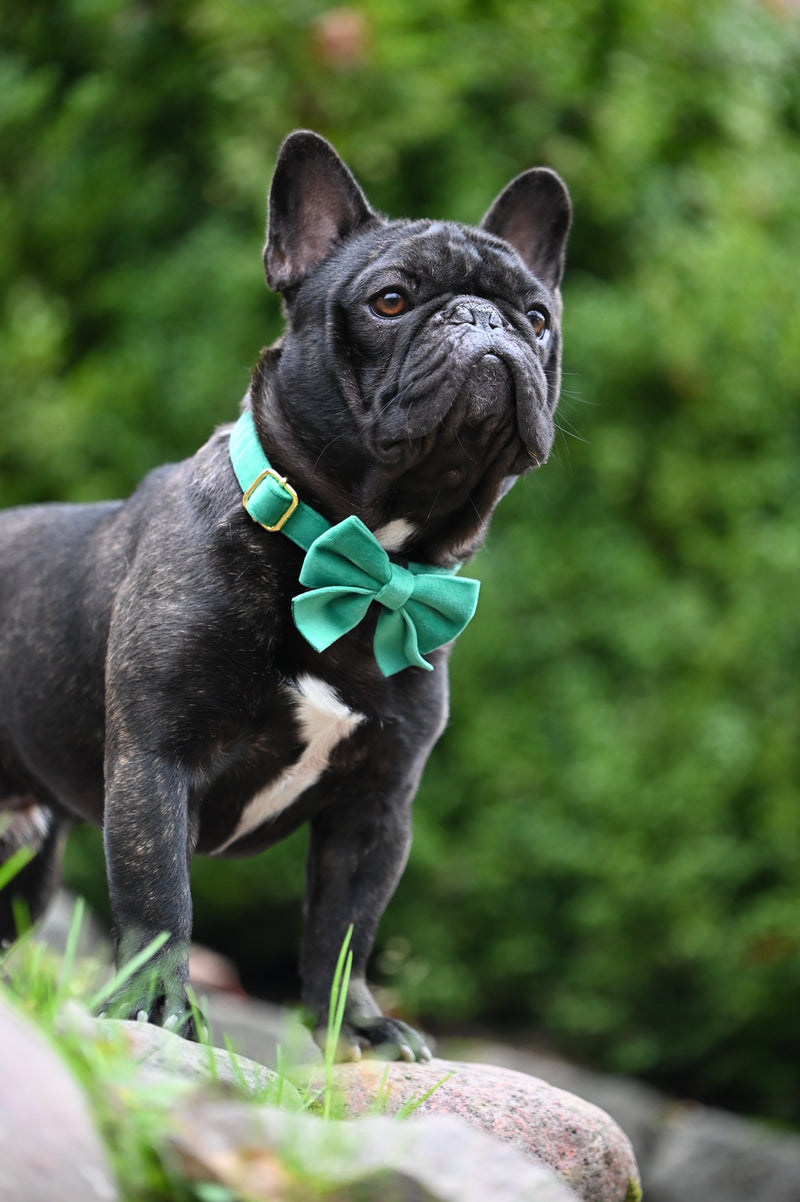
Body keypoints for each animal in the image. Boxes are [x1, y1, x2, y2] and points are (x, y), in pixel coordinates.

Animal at [0, 131, 566, 1062]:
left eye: (539, 316)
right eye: (391, 300)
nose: (484, 321)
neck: (365, 558)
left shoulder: (375, 811)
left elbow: (345, 931)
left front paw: (361, 1030)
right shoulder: (156, 762)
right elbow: (160, 900)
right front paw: (160, 1010)